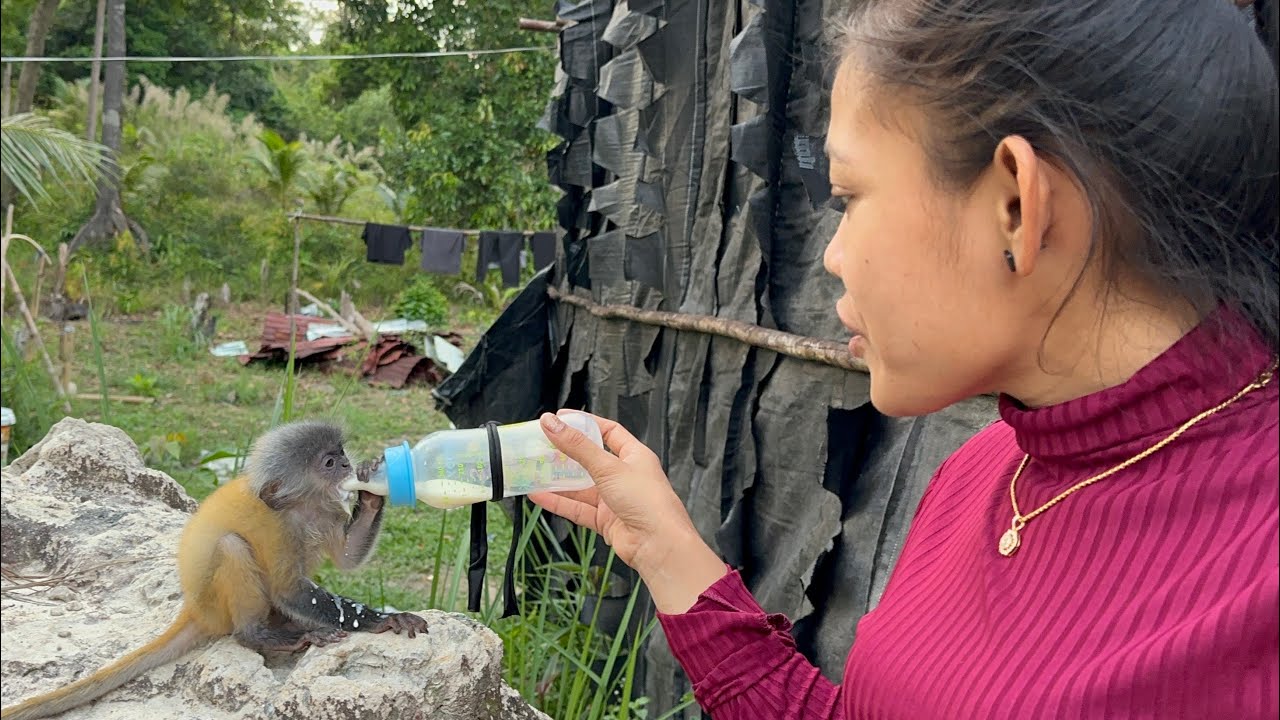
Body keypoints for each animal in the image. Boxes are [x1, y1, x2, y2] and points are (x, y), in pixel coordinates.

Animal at [1, 420, 428, 720]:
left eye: (339, 453)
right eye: (328, 462)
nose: (345, 464)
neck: (301, 509)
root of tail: (194, 608)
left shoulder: (326, 511)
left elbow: (346, 560)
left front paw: (373, 491)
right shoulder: (280, 527)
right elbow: (289, 589)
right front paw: (379, 621)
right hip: (217, 601)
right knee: (232, 548)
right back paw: (260, 636)